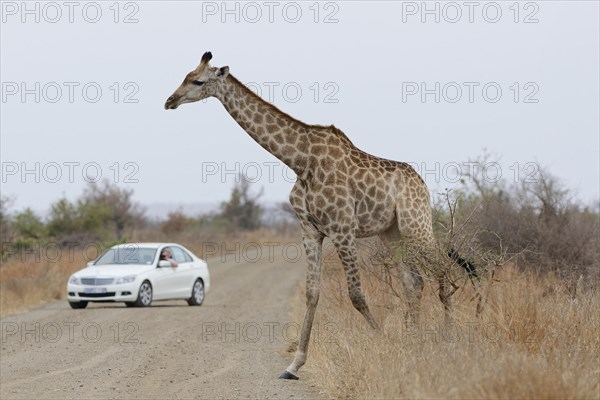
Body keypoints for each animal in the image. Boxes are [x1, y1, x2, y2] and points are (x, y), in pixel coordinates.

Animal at [165, 51, 474, 380]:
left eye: (198, 81)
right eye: (185, 76)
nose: (170, 100)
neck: (300, 161)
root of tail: (422, 183)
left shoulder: (342, 228)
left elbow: (356, 294)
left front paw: (384, 339)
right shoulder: (310, 230)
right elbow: (312, 293)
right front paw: (294, 364)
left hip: (416, 222)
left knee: (441, 269)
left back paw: (448, 337)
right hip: (391, 232)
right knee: (413, 281)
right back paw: (414, 339)